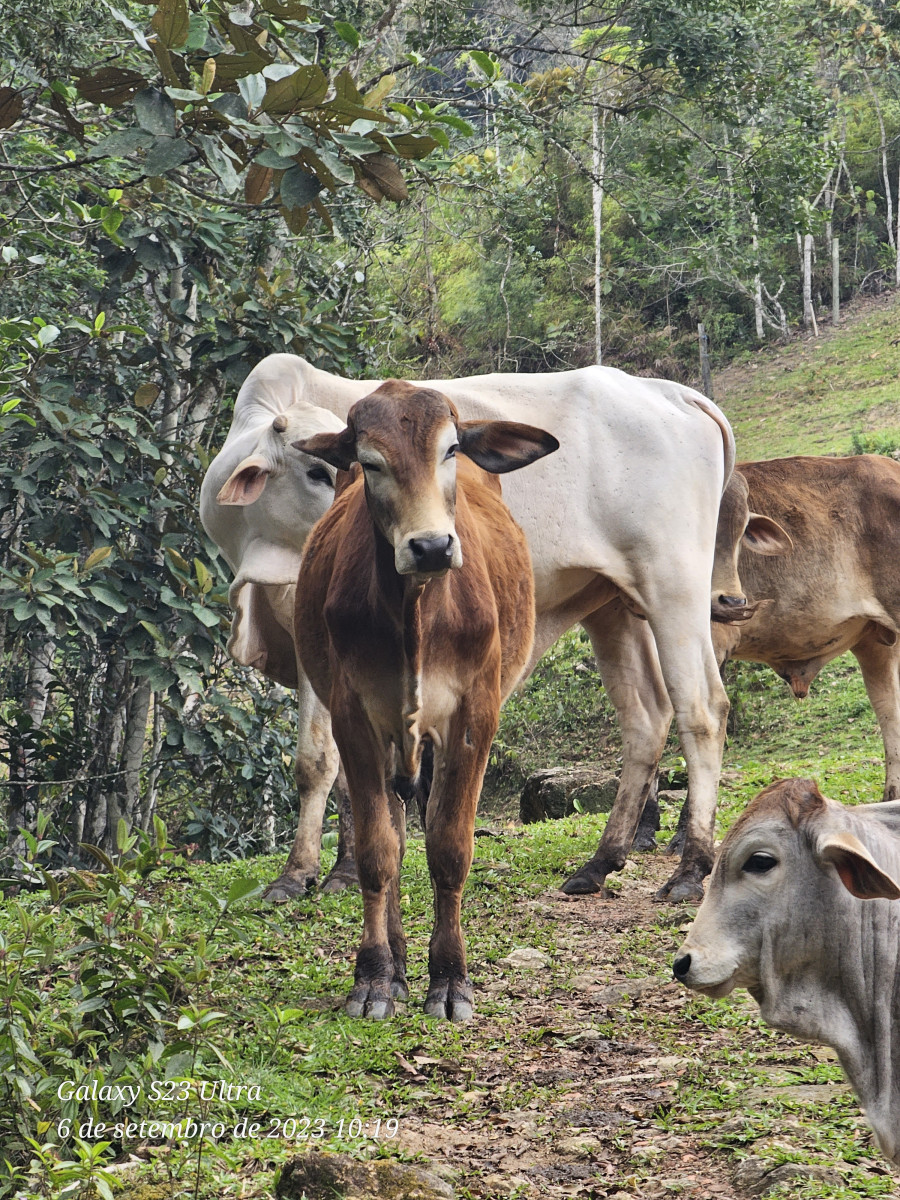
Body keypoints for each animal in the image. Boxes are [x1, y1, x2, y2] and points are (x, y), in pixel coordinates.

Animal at [202, 350, 739, 902]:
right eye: (318, 469)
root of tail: (675, 393)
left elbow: (321, 761)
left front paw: (328, 871)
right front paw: (314, 869)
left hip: (673, 588)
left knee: (703, 710)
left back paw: (691, 866)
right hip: (611, 603)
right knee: (645, 718)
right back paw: (601, 862)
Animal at [292, 379, 556, 1017]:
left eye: (451, 450)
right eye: (369, 462)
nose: (432, 546)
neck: (416, 610)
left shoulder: (474, 718)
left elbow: (449, 847)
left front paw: (452, 978)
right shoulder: (355, 720)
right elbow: (377, 852)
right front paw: (372, 977)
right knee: (391, 830)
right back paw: (396, 966)